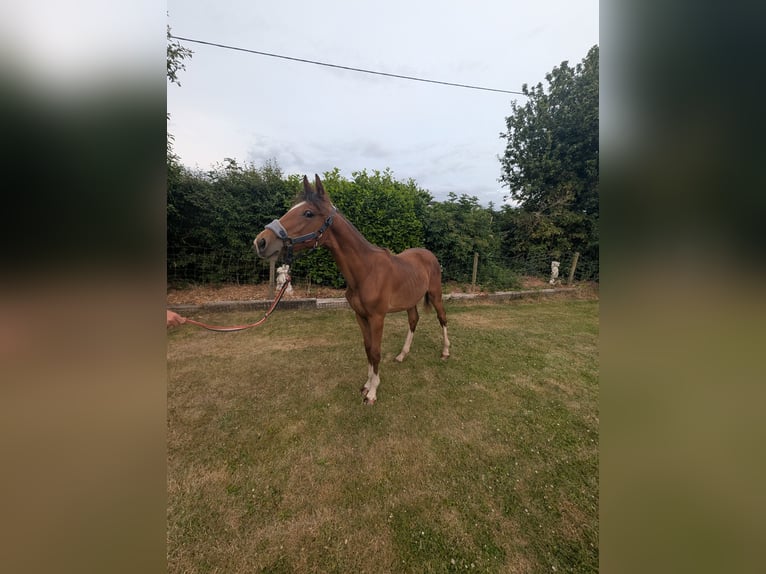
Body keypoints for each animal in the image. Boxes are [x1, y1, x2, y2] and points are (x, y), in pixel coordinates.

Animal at [254, 174, 450, 405]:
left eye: (308, 213)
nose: (261, 242)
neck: (366, 271)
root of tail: (429, 255)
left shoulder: (377, 317)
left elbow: (376, 351)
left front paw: (372, 393)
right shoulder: (360, 315)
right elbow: (367, 348)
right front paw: (367, 384)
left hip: (436, 295)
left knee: (442, 318)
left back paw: (445, 352)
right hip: (410, 300)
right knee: (413, 320)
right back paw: (402, 355)